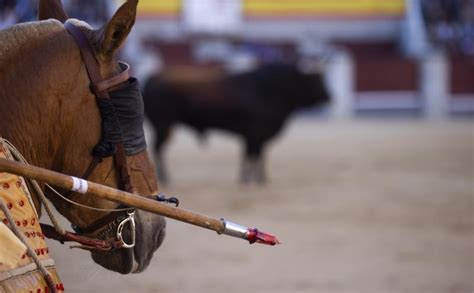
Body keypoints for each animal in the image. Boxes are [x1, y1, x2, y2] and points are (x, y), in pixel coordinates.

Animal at [144, 63, 330, 184]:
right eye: (316, 80)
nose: (329, 97)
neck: (274, 89)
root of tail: (154, 77)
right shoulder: (254, 133)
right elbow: (251, 155)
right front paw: (247, 180)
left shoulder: (257, 136)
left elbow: (258, 156)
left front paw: (261, 179)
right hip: (163, 125)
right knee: (158, 148)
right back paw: (165, 177)